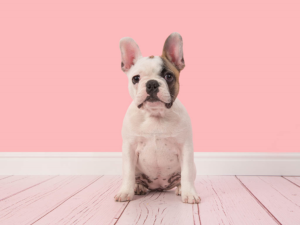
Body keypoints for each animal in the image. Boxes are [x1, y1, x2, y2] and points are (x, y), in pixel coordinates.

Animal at [115, 32, 202, 204]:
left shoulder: (185, 148)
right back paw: (138, 187)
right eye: (136, 78)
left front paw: (189, 193)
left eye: (168, 76)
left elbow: (187, 173)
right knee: (136, 178)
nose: (152, 84)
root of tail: (159, 187)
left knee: (183, 177)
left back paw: (181, 189)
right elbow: (128, 173)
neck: (155, 115)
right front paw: (125, 192)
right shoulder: (129, 148)